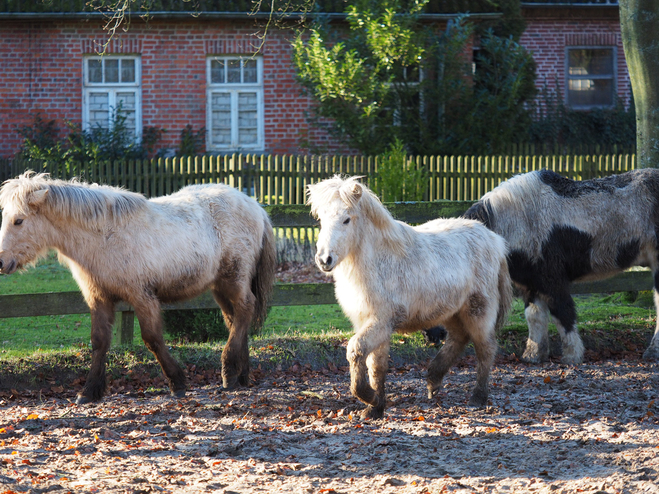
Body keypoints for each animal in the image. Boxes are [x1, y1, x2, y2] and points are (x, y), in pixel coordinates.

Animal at [0, 172, 276, 404]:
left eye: (19, 221)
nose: (1, 262)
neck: (105, 235)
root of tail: (255, 206)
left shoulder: (142, 297)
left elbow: (152, 339)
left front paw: (177, 382)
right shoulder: (99, 298)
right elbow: (99, 341)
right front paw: (89, 391)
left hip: (234, 278)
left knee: (245, 310)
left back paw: (228, 372)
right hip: (220, 285)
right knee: (235, 319)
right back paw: (241, 374)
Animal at [306, 176, 512, 418]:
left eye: (346, 219)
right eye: (321, 219)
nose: (324, 260)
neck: (378, 263)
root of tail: (495, 240)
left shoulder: (382, 322)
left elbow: (355, 350)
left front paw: (368, 397)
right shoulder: (370, 324)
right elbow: (376, 366)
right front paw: (375, 408)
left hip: (478, 310)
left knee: (485, 348)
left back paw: (477, 397)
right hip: (451, 312)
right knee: (459, 338)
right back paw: (433, 381)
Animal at [464, 170, 659, 362]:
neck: (519, 222)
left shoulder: (553, 280)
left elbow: (563, 313)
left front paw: (572, 356)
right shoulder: (531, 283)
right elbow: (534, 317)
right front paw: (533, 356)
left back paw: (651, 353)